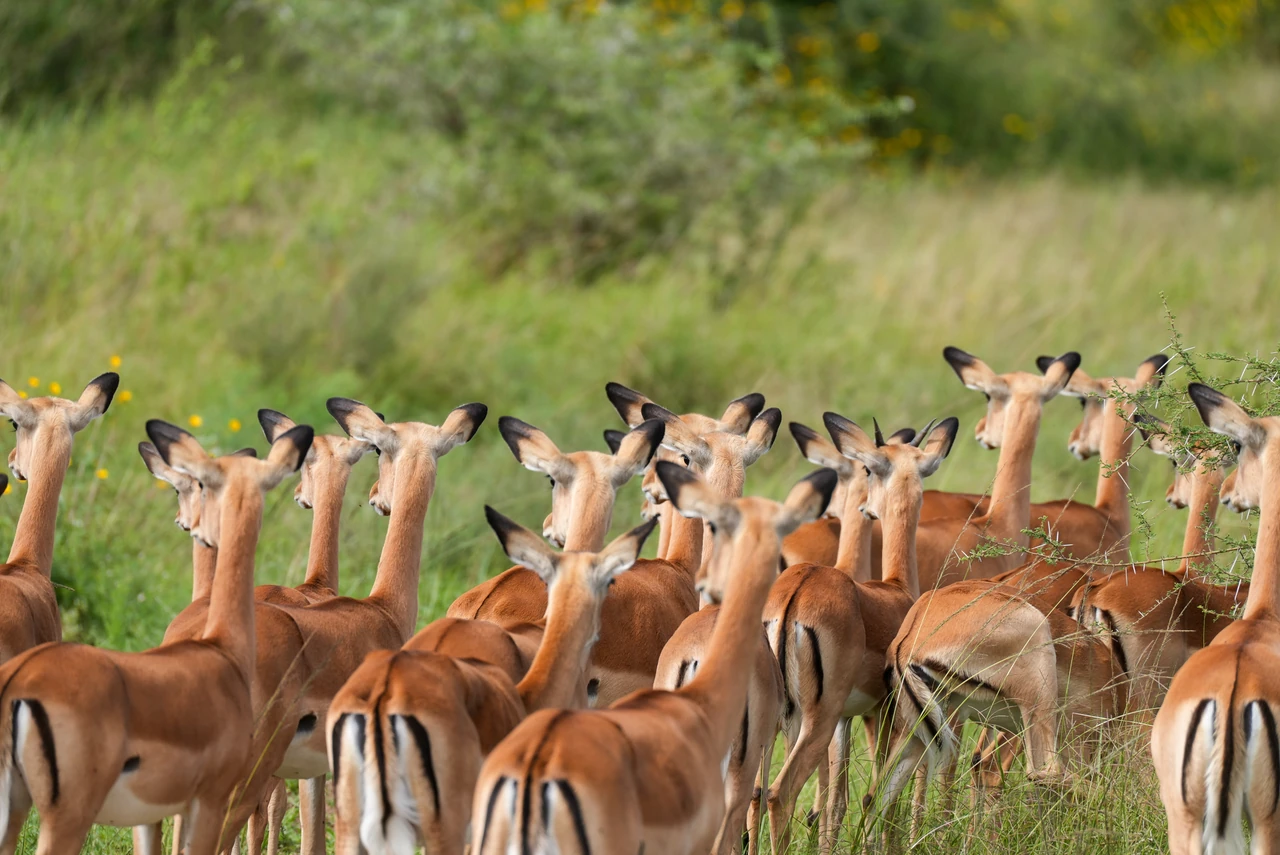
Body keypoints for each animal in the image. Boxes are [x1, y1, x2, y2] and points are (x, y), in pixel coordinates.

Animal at [760, 416, 958, 853]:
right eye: (869, 468)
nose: (866, 507)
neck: (896, 590)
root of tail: (794, 594)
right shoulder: (880, 713)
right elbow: (878, 798)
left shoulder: (846, 722)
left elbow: (836, 803)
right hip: (816, 719)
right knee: (779, 794)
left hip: (778, 721)